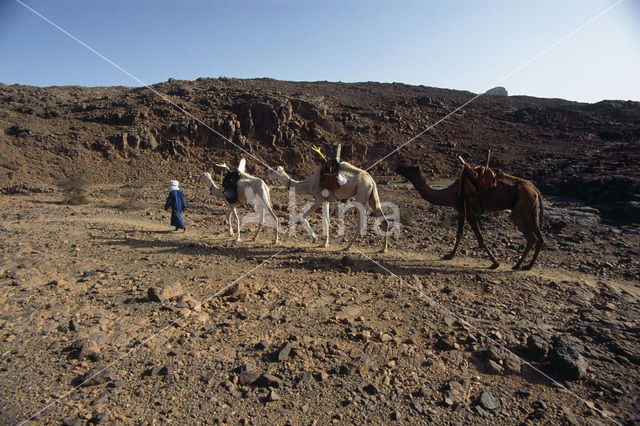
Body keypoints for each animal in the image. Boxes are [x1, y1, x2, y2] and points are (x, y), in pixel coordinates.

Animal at [396, 164, 544, 270]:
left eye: (410, 167)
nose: (398, 167)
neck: (450, 193)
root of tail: (536, 190)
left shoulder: (470, 212)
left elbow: (480, 239)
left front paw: (495, 263)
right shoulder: (461, 210)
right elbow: (459, 234)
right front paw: (450, 255)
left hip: (522, 206)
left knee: (531, 236)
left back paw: (518, 265)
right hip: (532, 211)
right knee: (540, 238)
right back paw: (528, 266)